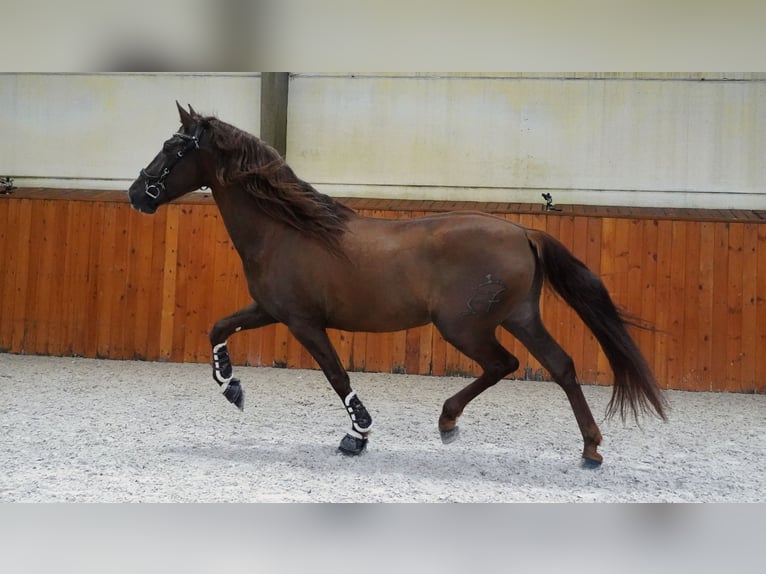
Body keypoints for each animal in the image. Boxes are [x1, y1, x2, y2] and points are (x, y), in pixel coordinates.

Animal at [130, 103, 664, 466]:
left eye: (174, 147)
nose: (137, 193)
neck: (286, 229)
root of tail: (523, 231)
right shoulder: (270, 309)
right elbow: (219, 328)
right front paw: (230, 385)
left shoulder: (303, 322)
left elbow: (337, 375)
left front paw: (358, 434)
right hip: (520, 317)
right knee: (561, 366)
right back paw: (590, 449)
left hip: (465, 327)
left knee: (504, 364)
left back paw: (449, 421)